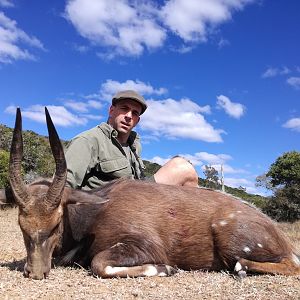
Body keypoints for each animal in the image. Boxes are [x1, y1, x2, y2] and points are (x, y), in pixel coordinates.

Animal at [2, 107, 300, 278]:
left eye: (55, 225)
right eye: (21, 226)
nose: (35, 272)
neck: (94, 215)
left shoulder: (143, 245)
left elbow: (99, 264)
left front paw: (167, 268)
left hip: (233, 243)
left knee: (288, 265)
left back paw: (242, 268)